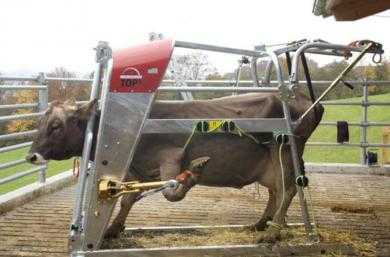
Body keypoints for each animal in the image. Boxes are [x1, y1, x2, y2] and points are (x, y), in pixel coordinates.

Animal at [26, 88, 322, 242]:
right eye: (41, 122)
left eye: (56, 125)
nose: (31, 156)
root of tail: (305, 100)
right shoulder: (137, 169)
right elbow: (127, 199)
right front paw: (113, 228)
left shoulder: (171, 157)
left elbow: (171, 192)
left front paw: (194, 172)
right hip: (269, 164)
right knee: (275, 192)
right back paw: (260, 223)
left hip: (284, 154)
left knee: (288, 191)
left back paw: (272, 232)